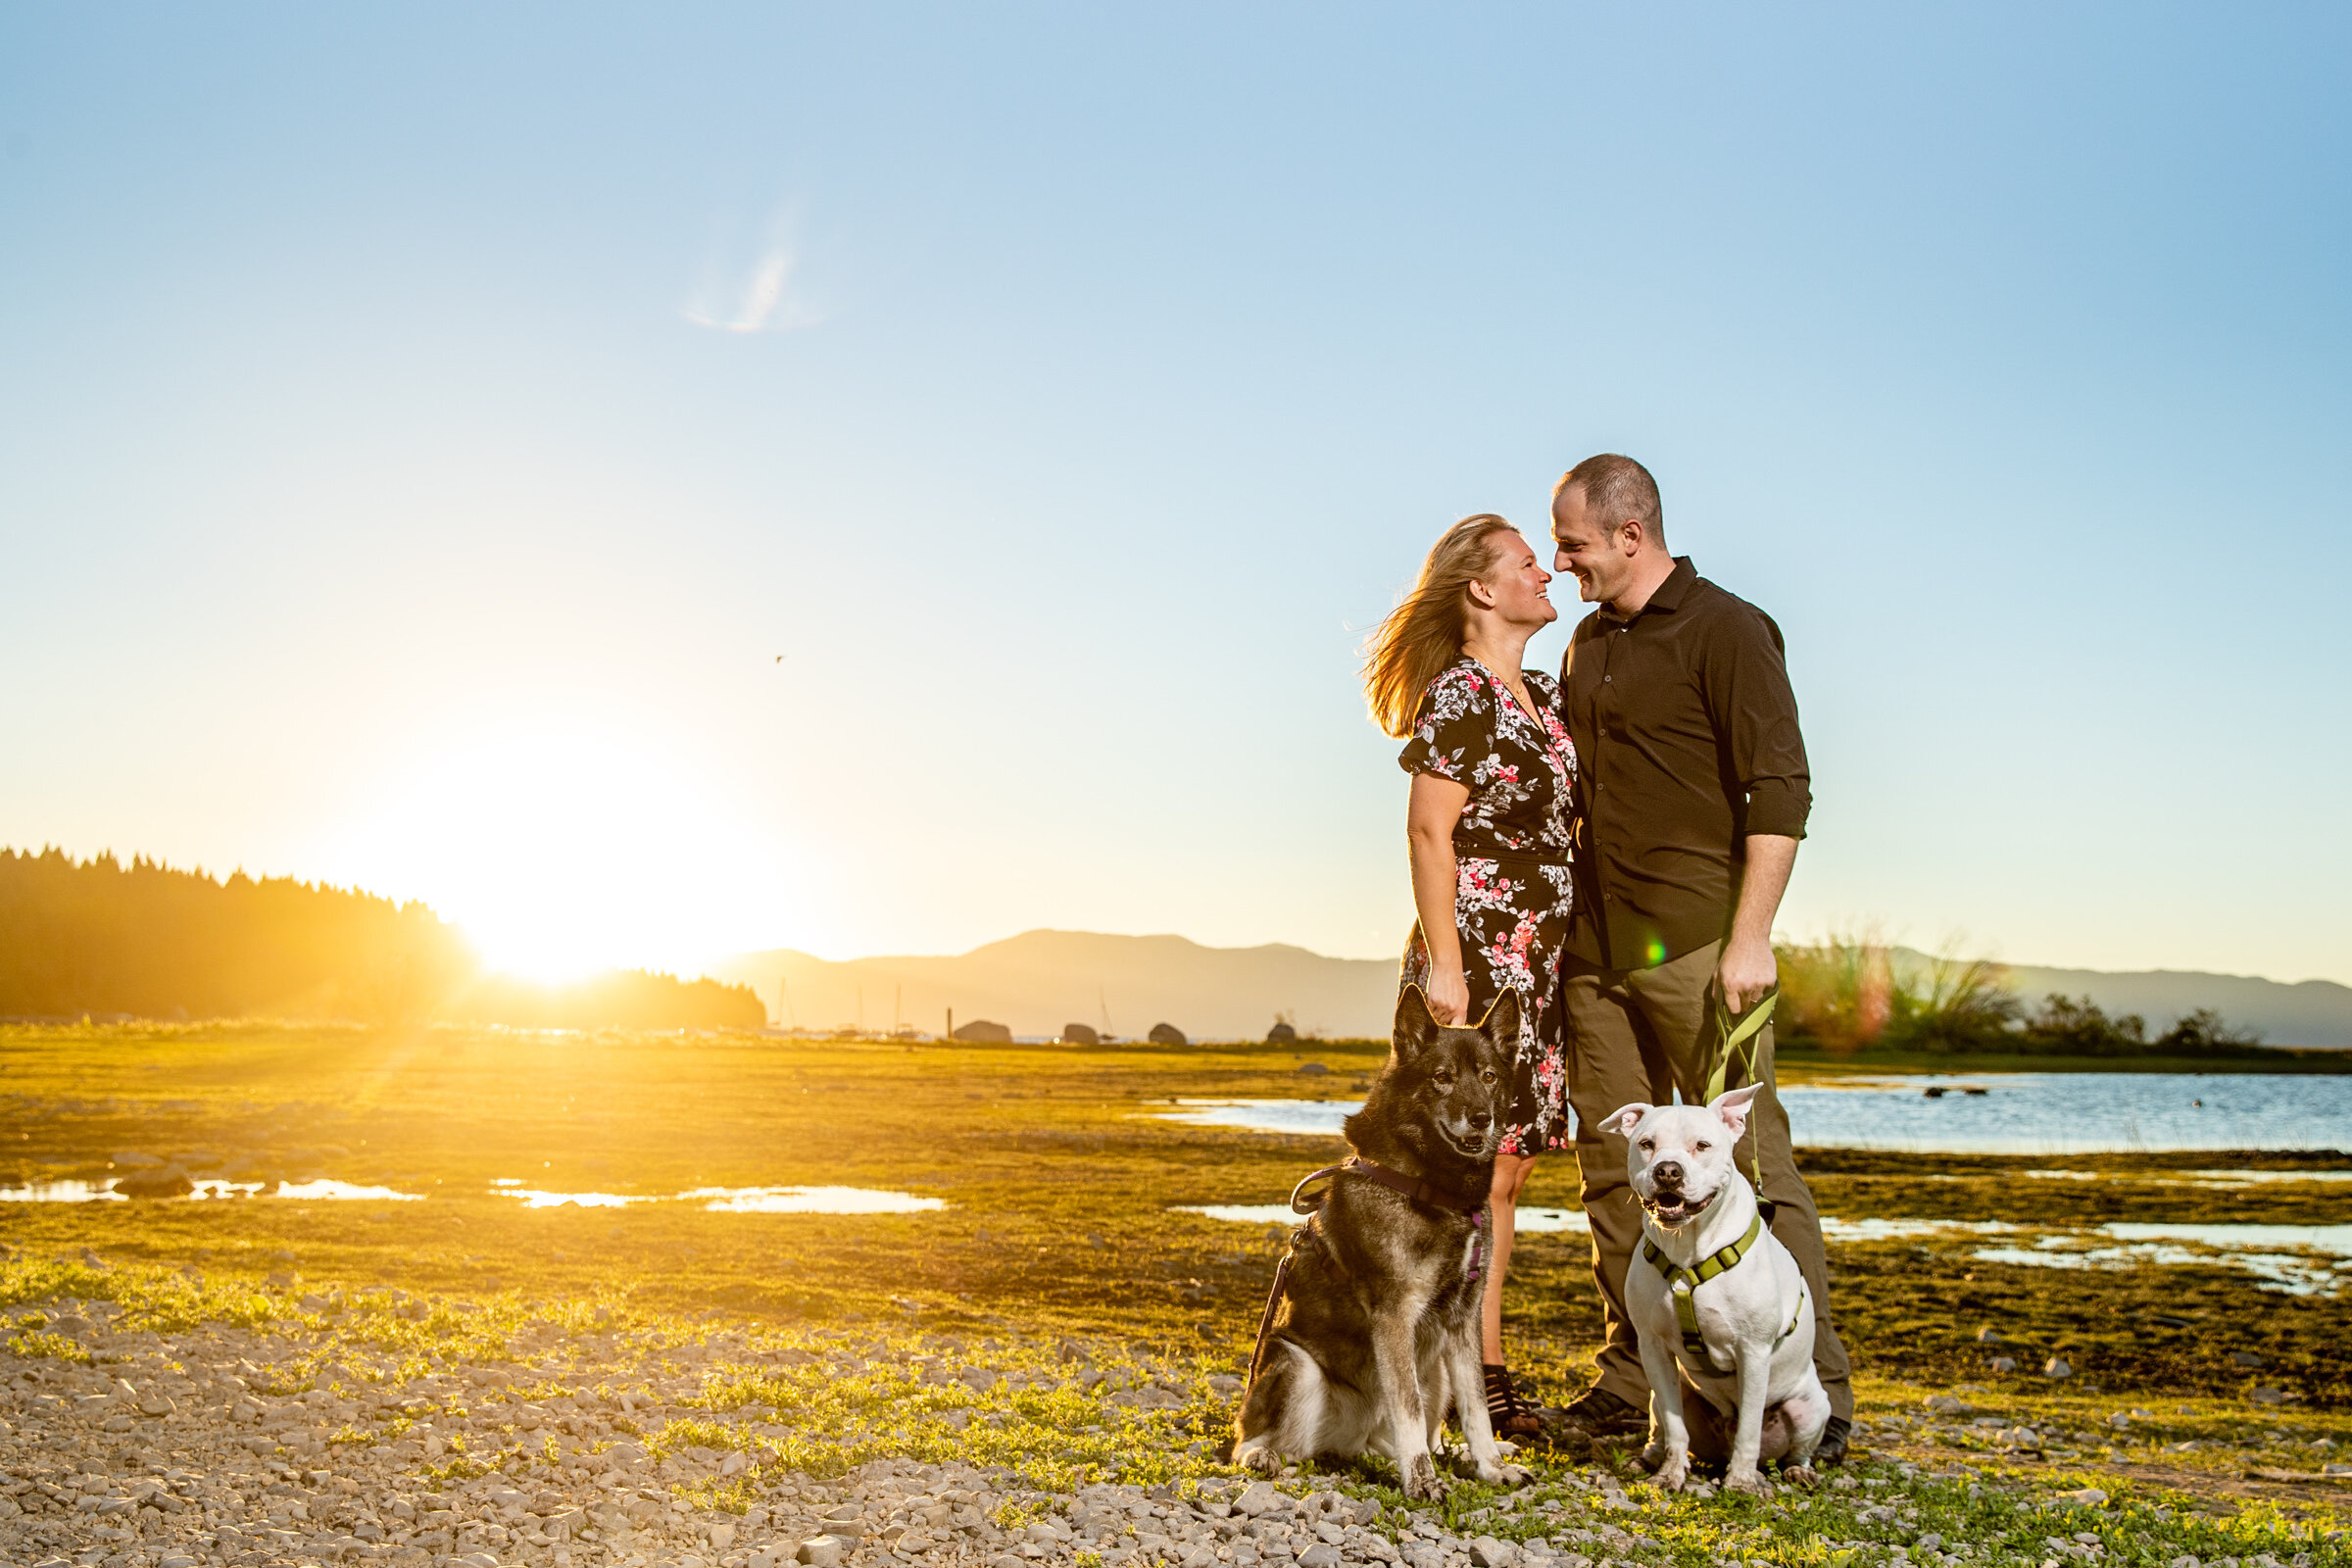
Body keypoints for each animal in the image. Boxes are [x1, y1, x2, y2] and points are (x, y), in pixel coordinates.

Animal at [1599, 1086, 1835, 1494]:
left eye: (1702, 1145)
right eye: (1647, 1144)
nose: (1668, 1170)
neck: (1688, 1249)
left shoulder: (1754, 1352)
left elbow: (1750, 1429)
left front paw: (1741, 1481)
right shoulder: (1653, 1347)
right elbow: (1676, 1429)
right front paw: (1670, 1474)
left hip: (1811, 1406)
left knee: (1796, 1447)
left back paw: (1797, 1470)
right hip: (1660, 1396)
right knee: (1661, 1428)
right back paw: (1645, 1459)